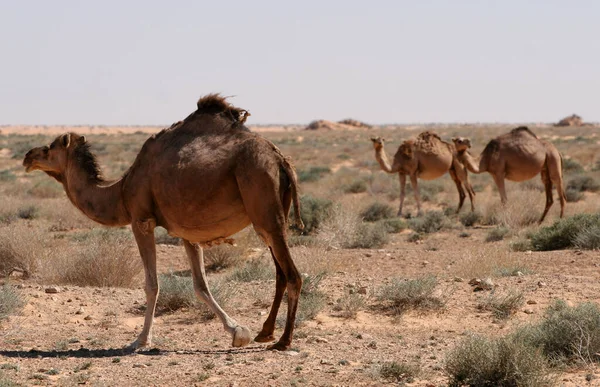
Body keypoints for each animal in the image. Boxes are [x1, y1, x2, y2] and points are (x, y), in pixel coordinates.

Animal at [23, 94, 304, 352]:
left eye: (49, 148)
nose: (28, 156)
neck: (121, 191)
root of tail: (281, 160)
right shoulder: (187, 233)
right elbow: (201, 285)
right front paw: (238, 332)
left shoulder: (141, 220)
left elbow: (152, 285)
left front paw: (140, 340)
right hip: (272, 213)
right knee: (280, 273)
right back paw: (265, 332)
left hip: (263, 201)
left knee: (293, 275)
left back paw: (283, 340)